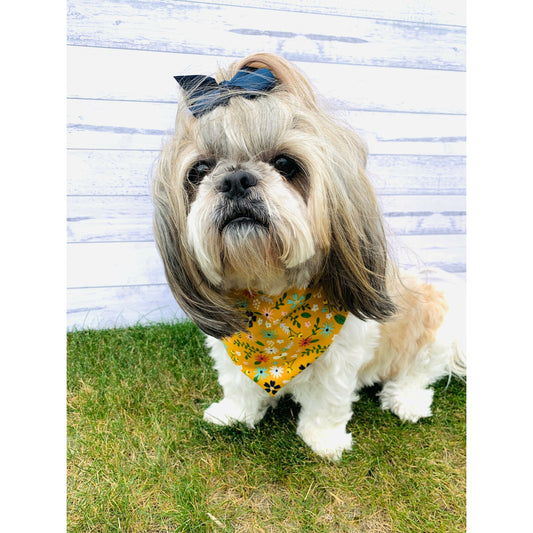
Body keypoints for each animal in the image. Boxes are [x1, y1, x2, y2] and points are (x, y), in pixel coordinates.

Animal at [152, 53, 464, 462]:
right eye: (200, 169)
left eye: (285, 164)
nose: (235, 180)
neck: (272, 305)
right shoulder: (232, 346)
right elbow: (238, 384)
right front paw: (235, 413)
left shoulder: (341, 357)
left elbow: (328, 402)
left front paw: (324, 439)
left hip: (432, 325)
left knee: (419, 372)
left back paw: (406, 400)